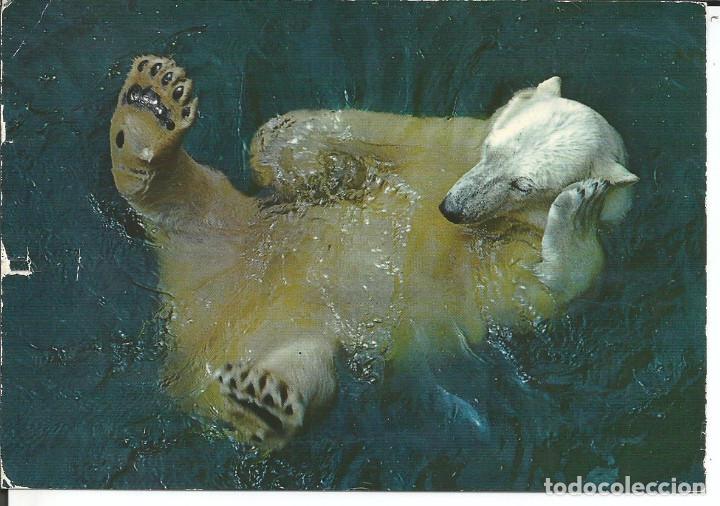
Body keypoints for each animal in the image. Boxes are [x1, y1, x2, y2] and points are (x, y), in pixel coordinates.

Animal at [109, 56, 637, 449]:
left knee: (305, 363)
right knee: (191, 204)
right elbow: (362, 130)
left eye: (523, 184)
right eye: (493, 149)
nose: (451, 209)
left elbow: (541, 287)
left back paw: (260, 404)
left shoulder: (518, 250)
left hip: (284, 327)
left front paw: (580, 205)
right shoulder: (443, 144)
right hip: (233, 230)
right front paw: (294, 151)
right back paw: (149, 110)